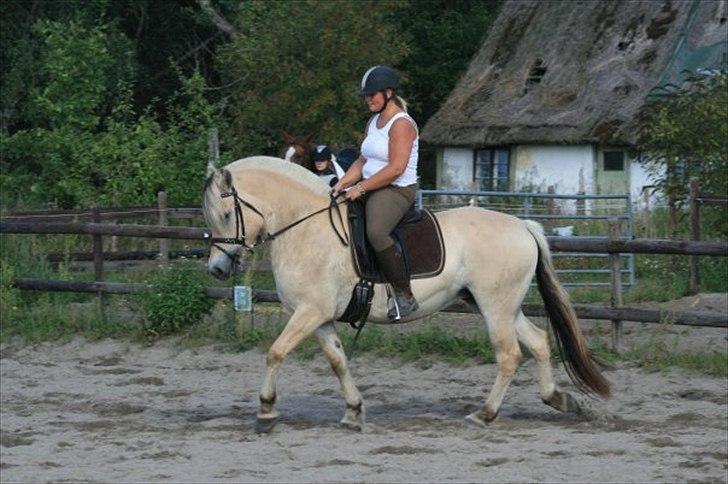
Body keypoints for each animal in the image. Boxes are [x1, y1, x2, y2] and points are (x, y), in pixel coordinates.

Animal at [200, 157, 608, 432]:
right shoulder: (320, 318)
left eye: (226, 214)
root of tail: (522, 226)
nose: (217, 269)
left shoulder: (309, 312)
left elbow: (275, 353)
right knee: (538, 342)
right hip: (501, 306)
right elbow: (338, 362)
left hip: (495, 307)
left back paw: (486, 413)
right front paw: (353, 411)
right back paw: (558, 399)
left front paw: (266, 411)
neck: (305, 227)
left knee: (509, 355)